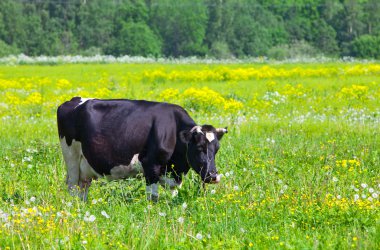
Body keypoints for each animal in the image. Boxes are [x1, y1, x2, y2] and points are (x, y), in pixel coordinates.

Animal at [58, 96, 227, 201]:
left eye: (216, 149)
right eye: (199, 147)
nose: (213, 176)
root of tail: (72, 100)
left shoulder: (174, 175)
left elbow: (173, 194)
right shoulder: (150, 165)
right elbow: (153, 197)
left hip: (85, 168)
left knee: (82, 188)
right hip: (71, 158)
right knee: (72, 186)